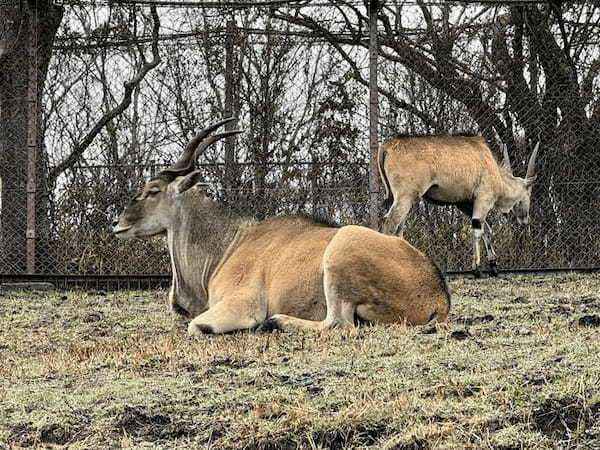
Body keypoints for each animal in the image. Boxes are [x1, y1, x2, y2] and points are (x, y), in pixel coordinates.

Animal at [112, 118, 450, 336]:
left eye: (153, 190)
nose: (117, 223)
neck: (229, 245)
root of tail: (439, 296)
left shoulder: (240, 306)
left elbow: (196, 327)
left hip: (342, 247)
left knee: (339, 324)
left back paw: (277, 323)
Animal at [380, 135, 540, 278]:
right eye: (528, 193)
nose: (525, 219)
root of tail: (387, 146)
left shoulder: (464, 204)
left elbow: (487, 229)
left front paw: (493, 266)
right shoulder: (483, 199)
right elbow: (478, 230)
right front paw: (476, 269)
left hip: (402, 199)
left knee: (399, 228)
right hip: (405, 197)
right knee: (390, 223)